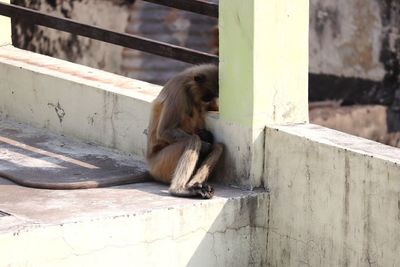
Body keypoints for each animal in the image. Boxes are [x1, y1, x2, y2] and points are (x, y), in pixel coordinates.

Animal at [0, 64, 222, 199]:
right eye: (206, 95)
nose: (209, 101)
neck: (190, 88)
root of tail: (151, 168)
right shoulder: (178, 92)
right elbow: (164, 132)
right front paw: (204, 140)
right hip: (162, 162)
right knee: (191, 142)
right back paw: (180, 189)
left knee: (219, 145)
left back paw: (196, 185)